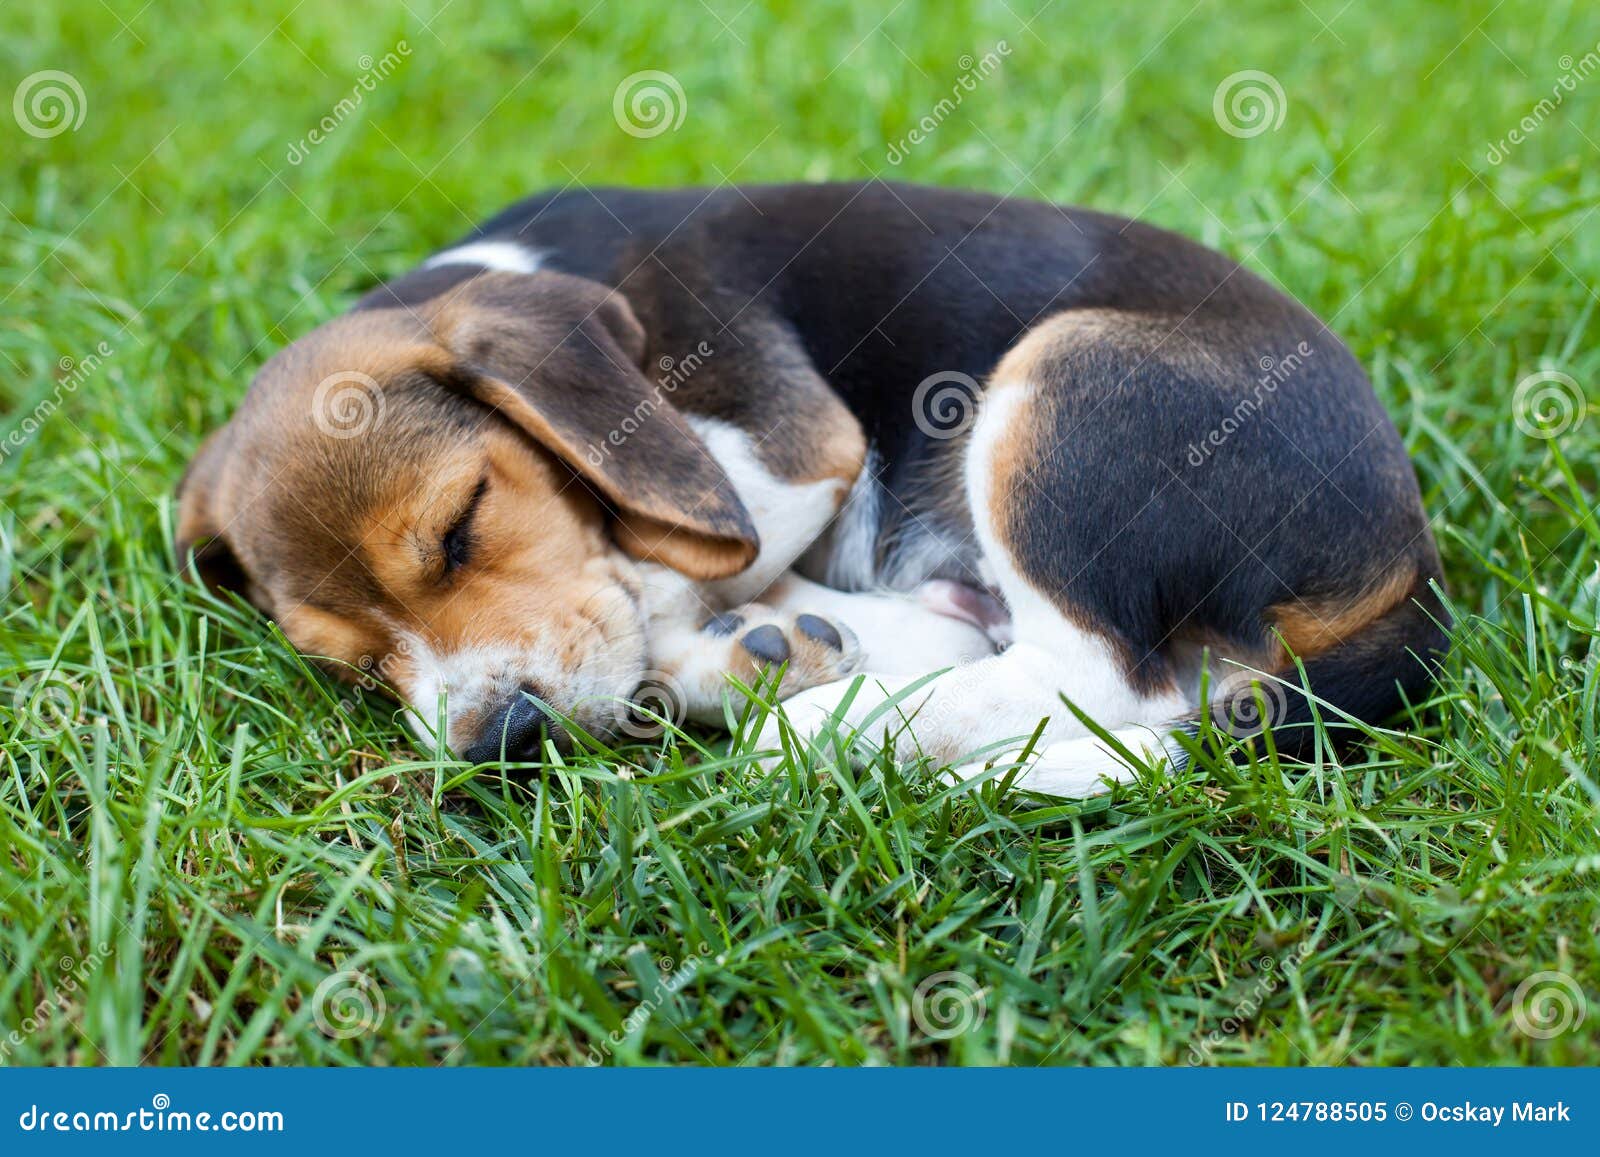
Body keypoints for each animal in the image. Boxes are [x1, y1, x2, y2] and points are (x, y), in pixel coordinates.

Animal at [178, 180, 1452, 796]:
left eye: (459, 527)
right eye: (351, 661)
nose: (500, 740)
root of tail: (1407, 560)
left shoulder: (785, 442)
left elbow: (666, 559)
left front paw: (700, 642)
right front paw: (746, 641)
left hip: (1061, 387)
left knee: (1114, 685)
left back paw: (837, 727)